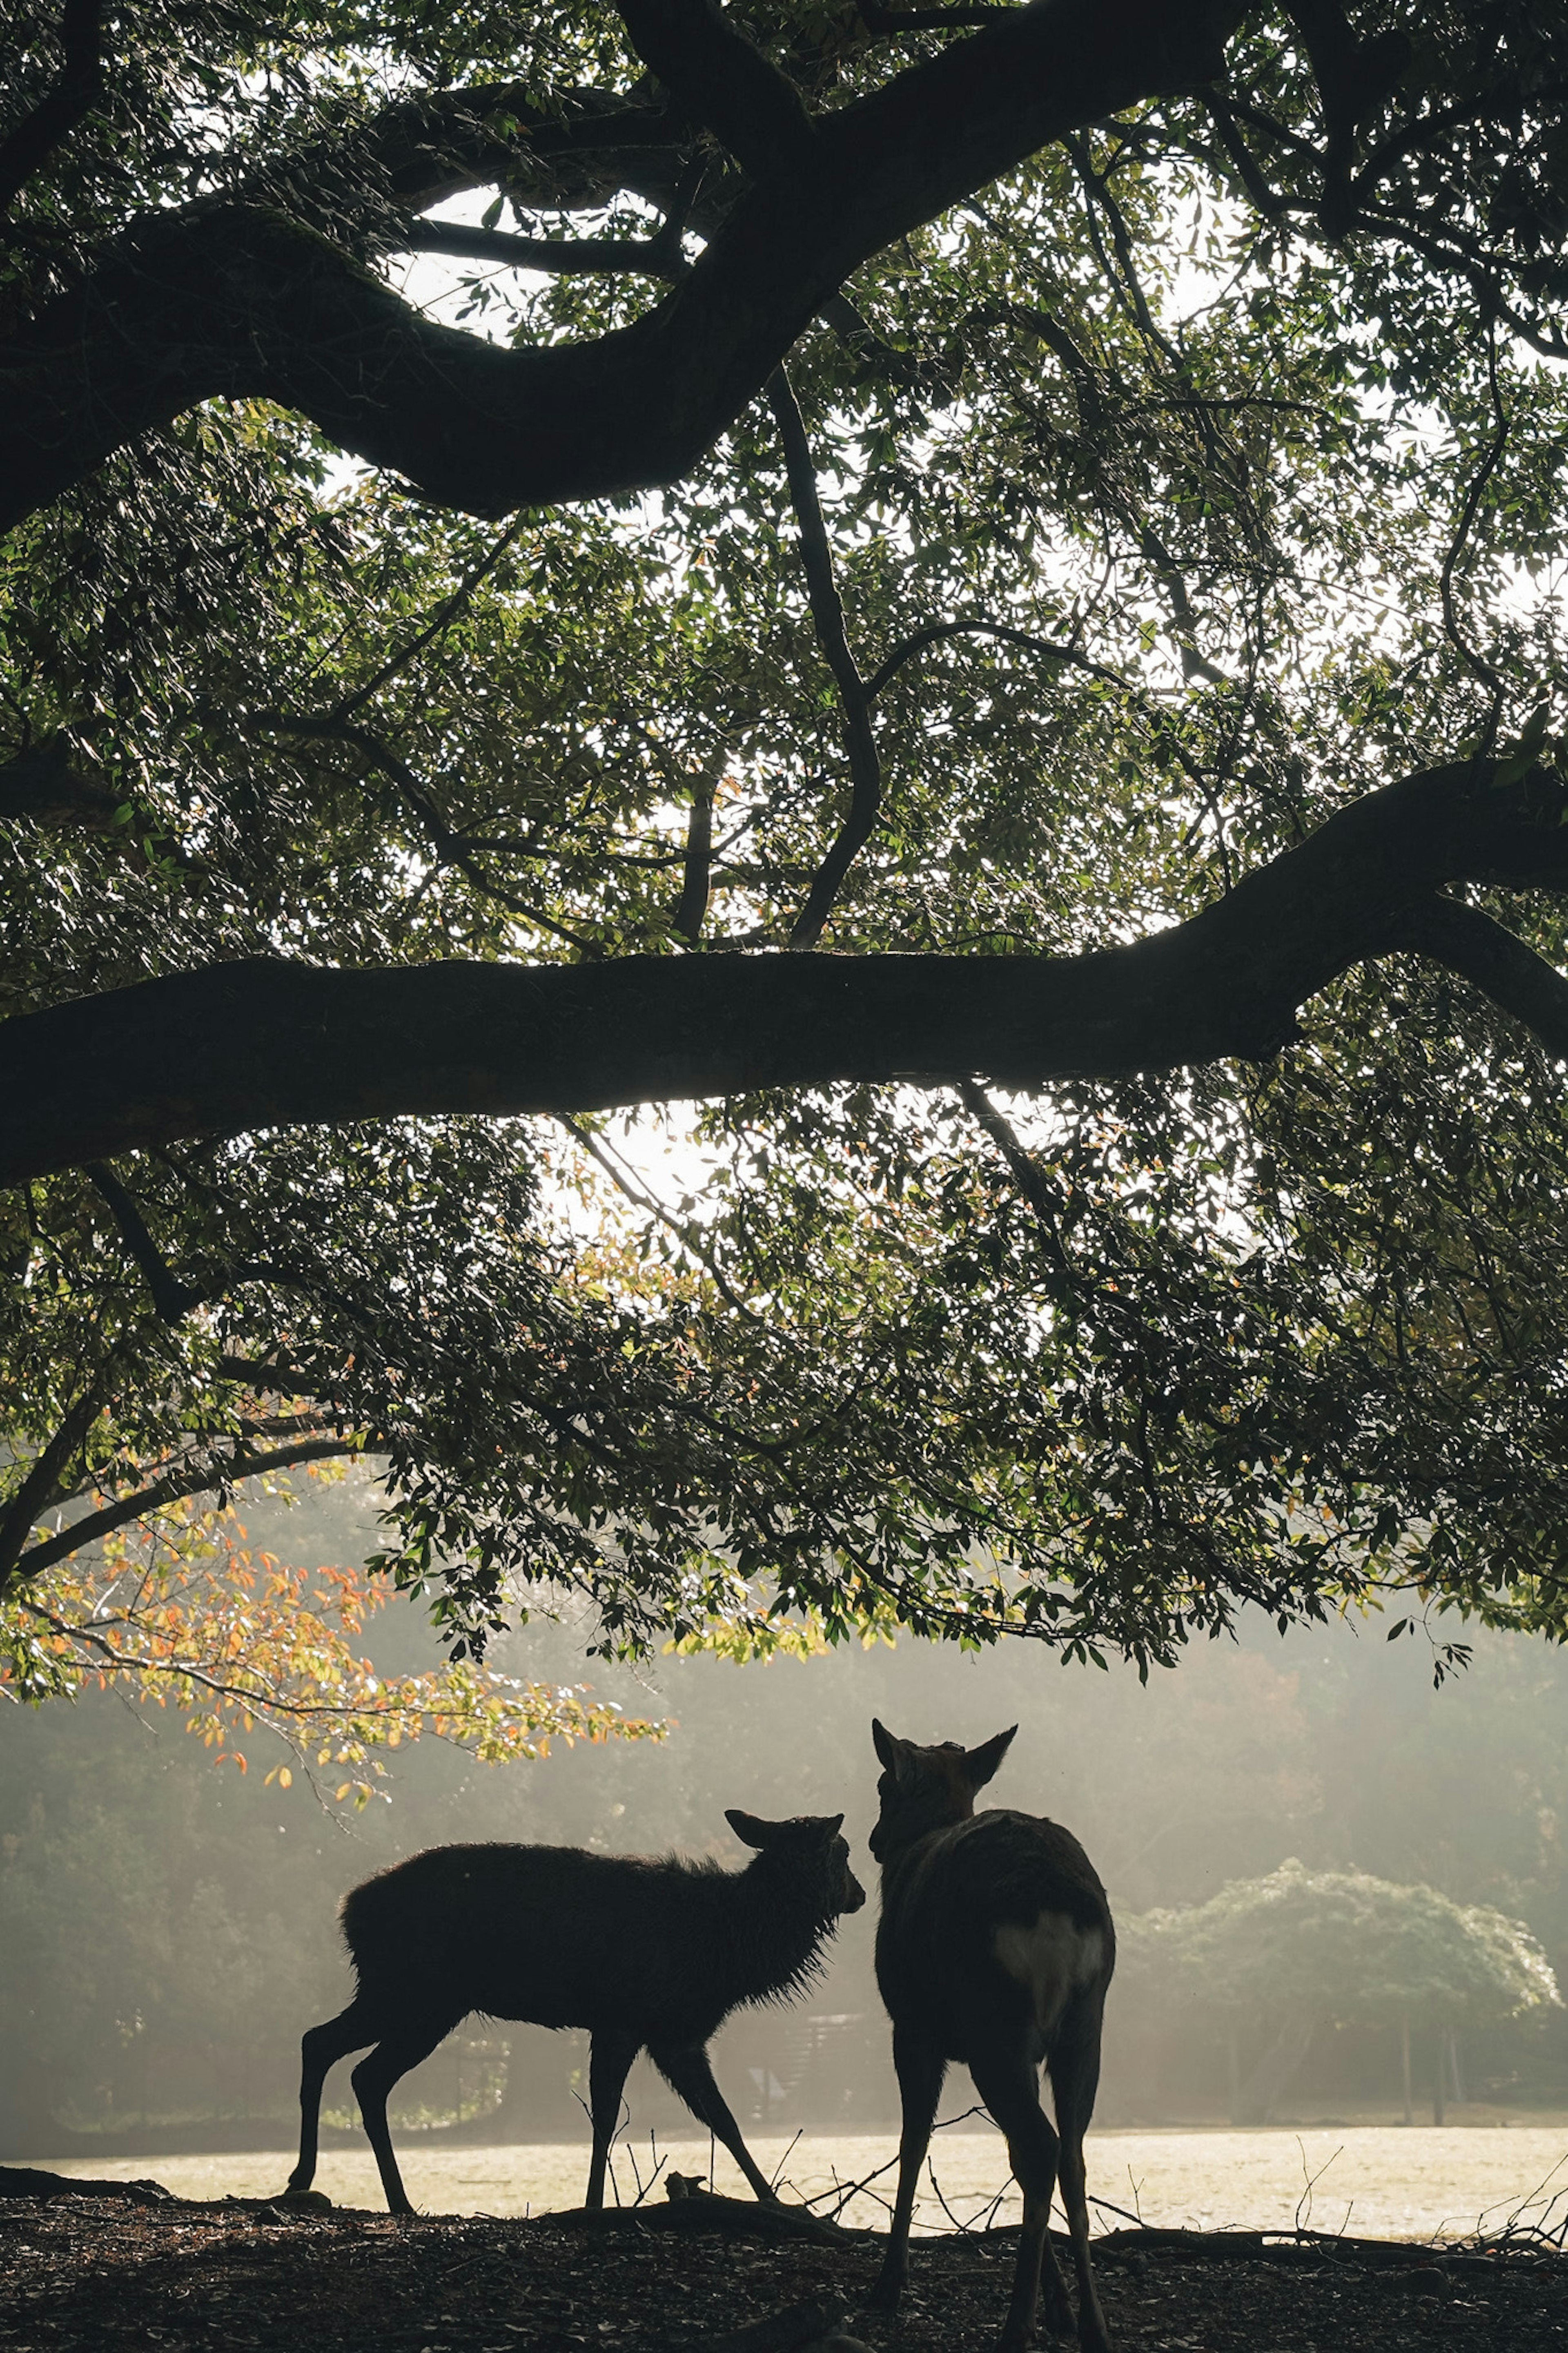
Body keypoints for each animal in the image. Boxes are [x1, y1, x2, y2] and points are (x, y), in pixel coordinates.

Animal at [288, 1807, 865, 2212]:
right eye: (842, 1853)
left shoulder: (673, 2035)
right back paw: (337, 2185)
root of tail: (349, 1908)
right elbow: (607, 2116)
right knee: (341, 2056)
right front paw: (592, 2205)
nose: (859, 1895)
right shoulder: (626, 2020)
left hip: (413, 2000)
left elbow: (724, 2119)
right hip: (412, 1993)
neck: (727, 1950)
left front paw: (779, 2203)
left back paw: (363, 2192)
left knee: (345, 2059)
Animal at [870, 1713, 1114, 2353]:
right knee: (1068, 2152)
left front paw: (888, 2285)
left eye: (883, 1786)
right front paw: (1060, 2305)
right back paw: (1093, 2326)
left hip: (991, 2024)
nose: (875, 1841)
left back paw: (1016, 2327)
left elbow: (914, 2141)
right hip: (1086, 2024)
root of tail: (1051, 1908)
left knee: (1042, 2144)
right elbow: (1011, 2158)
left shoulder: (912, 2026)